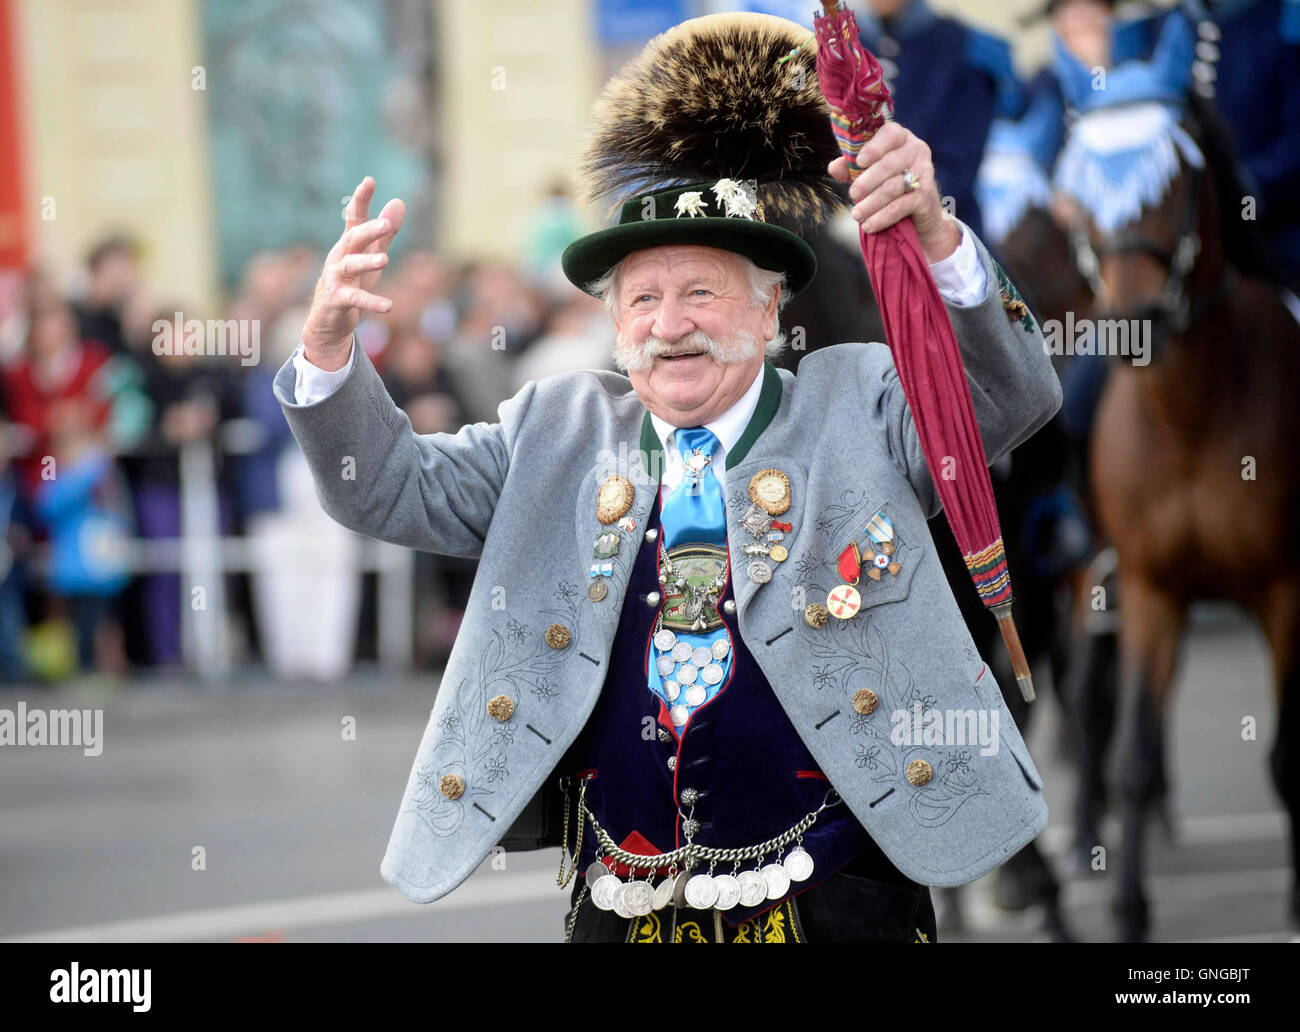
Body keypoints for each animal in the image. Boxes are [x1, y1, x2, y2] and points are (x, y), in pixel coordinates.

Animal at [1055, 96, 1300, 941]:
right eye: (1083, 201)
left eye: (1175, 188)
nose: (1137, 323)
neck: (1192, 414)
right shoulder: (1150, 588)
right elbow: (1129, 754)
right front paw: (1129, 907)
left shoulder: (1283, 593)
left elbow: (1284, 757)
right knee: (1090, 701)